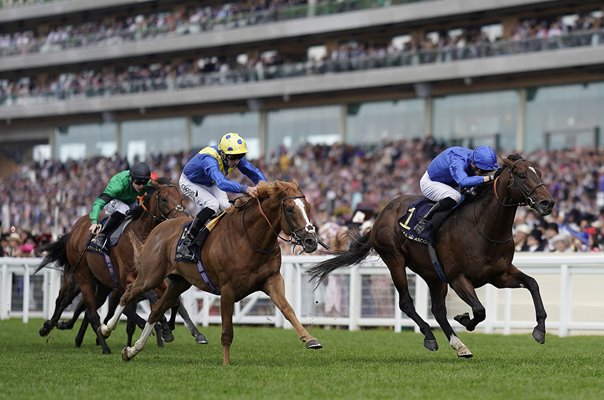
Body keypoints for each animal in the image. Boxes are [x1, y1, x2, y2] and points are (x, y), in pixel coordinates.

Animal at [36, 179, 198, 354]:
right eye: (164, 199)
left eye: (181, 199)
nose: (182, 219)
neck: (140, 237)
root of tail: (75, 229)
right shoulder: (126, 280)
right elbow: (138, 303)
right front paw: (160, 327)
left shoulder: (152, 278)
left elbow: (172, 301)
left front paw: (169, 327)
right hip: (81, 276)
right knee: (81, 308)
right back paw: (101, 344)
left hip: (101, 283)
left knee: (84, 308)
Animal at [101, 181, 324, 366]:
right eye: (290, 209)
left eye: (308, 207)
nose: (311, 241)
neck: (249, 238)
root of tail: (158, 228)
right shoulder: (227, 289)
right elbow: (227, 331)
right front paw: (226, 363)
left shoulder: (272, 280)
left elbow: (288, 310)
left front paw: (310, 339)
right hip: (151, 275)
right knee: (128, 292)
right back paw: (106, 329)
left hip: (178, 283)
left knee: (155, 312)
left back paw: (131, 351)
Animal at [310, 155, 556, 358]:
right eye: (522, 175)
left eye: (539, 173)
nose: (548, 202)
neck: (484, 227)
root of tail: (381, 215)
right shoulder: (458, 278)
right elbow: (479, 310)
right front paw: (465, 319)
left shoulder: (500, 275)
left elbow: (533, 284)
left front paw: (540, 330)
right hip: (395, 260)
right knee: (406, 303)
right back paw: (430, 337)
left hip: (433, 275)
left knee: (437, 310)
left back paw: (459, 345)